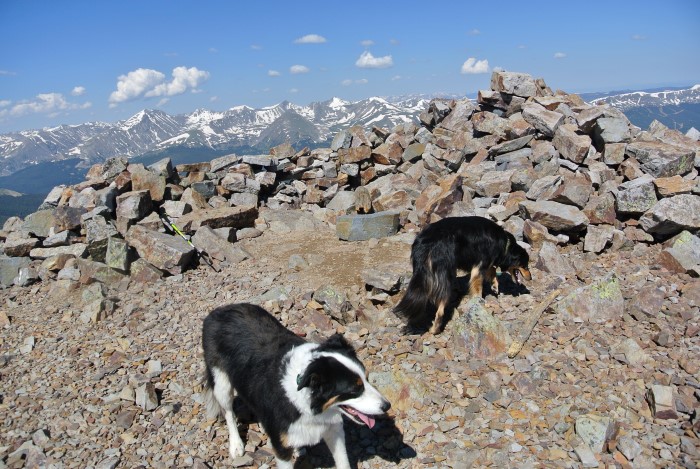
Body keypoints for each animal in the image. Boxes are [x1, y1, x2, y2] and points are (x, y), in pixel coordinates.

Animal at [394, 216, 532, 332]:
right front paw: (479, 302)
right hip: (446, 276)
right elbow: (478, 287)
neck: (505, 245)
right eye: (525, 266)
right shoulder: (479, 266)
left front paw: (494, 285)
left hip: (421, 274)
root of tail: (428, 243)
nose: (530, 278)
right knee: (440, 309)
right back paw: (435, 329)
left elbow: (492, 270)